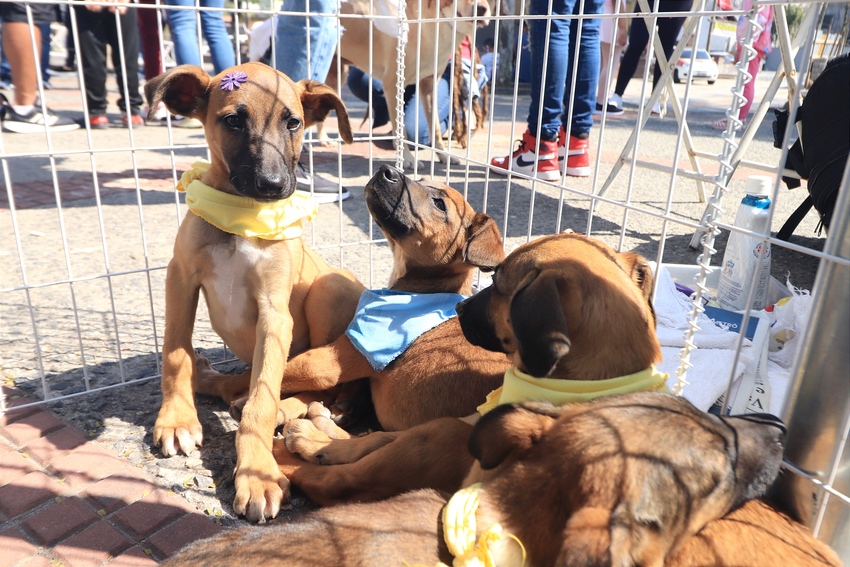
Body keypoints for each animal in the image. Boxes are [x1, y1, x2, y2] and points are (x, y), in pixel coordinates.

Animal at [144, 63, 360, 524]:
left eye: (293, 123)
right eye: (232, 121)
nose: (273, 184)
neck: (241, 217)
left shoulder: (274, 313)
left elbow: (264, 393)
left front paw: (257, 473)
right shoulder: (180, 277)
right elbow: (175, 353)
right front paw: (176, 418)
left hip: (329, 288)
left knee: (315, 385)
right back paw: (211, 379)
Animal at [274, 233, 660, 504]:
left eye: (498, 284)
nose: (459, 309)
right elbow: (374, 438)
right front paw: (321, 440)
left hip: (439, 436)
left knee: (339, 481)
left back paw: (283, 457)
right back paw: (318, 432)